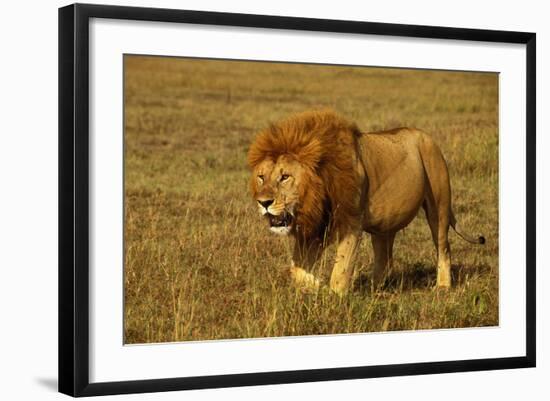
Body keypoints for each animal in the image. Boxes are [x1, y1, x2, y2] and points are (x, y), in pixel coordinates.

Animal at [248, 110, 486, 294]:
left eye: (285, 177)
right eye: (261, 177)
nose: (264, 202)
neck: (316, 195)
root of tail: (428, 136)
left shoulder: (351, 222)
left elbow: (340, 270)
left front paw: (332, 295)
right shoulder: (316, 228)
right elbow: (295, 270)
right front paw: (320, 288)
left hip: (439, 207)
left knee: (444, 247)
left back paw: (443, 287)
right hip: (385, 224)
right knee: (385, 258)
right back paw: (373, 289)